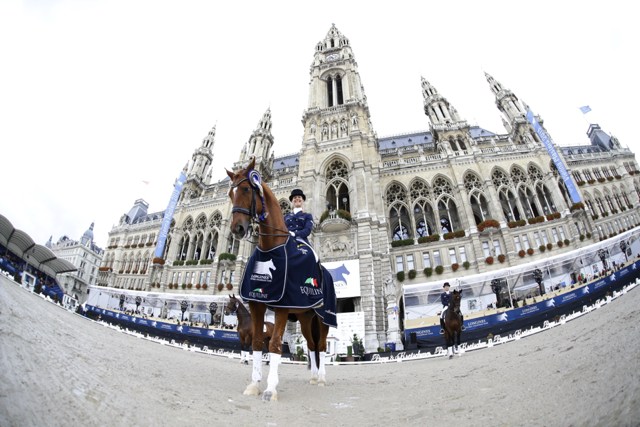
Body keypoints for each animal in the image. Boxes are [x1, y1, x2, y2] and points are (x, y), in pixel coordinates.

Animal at [226, 158, 336, 402]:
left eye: (246, 189)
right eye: (230, 193)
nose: (237, 228)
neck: (271, 248)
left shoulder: (283, 308)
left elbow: (276, 345)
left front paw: (270, 389)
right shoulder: (258, 304)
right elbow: (258, 343)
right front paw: (254, 385)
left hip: (324, 317)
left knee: (322, 345)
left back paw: (322, 378)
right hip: (305, 318)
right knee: (311, 344)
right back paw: (313, 377)